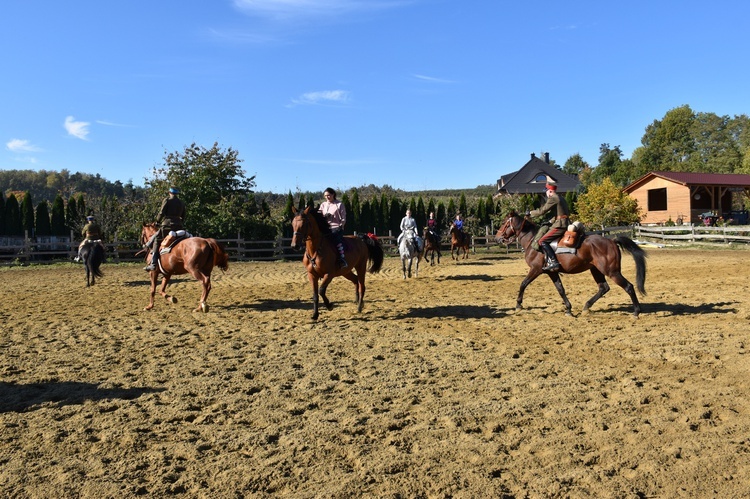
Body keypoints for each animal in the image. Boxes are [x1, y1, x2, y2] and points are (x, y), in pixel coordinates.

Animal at [496, 213, 648, 318]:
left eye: (504, 223)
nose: (497, 238)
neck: (533, 240)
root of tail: (612, 241)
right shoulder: (552, 272)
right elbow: (560, 289)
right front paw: (568, 309)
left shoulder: (536, 269)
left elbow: (523, 284)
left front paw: (518, 305)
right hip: (596, 270)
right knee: (603, 288)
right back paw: (586, 307)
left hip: (612, 272)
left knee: (628, 286)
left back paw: (636, 312)